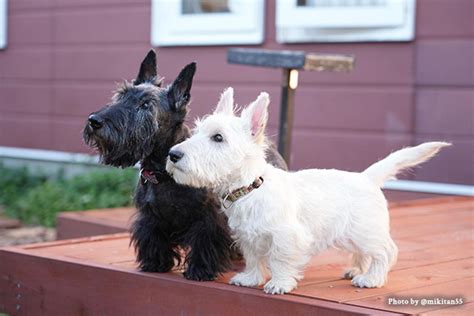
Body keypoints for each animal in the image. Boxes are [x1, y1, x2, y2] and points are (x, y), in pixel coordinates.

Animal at [83, 50, 286, 280]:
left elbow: (205, 243)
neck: (162, 173)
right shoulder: (151, 217)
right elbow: (153, 238)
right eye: (121, 94)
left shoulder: (207, 219)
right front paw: (155, 263)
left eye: (146, 105)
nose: (95, 121)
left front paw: (200, 270)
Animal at [167, 87, 452, 296]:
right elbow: (253, 258)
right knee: (364, 253)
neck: (251, 187)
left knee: (386, 251)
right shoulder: (248, 237)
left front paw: (279, 284)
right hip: (351, 235)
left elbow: (280, 260)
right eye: (197, 132)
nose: (173, 154)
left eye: (218, 138)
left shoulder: (286, 236)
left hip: (366, 232)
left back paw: (371, 278)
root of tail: (367, 177)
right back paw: (355, 270)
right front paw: (250, 279)